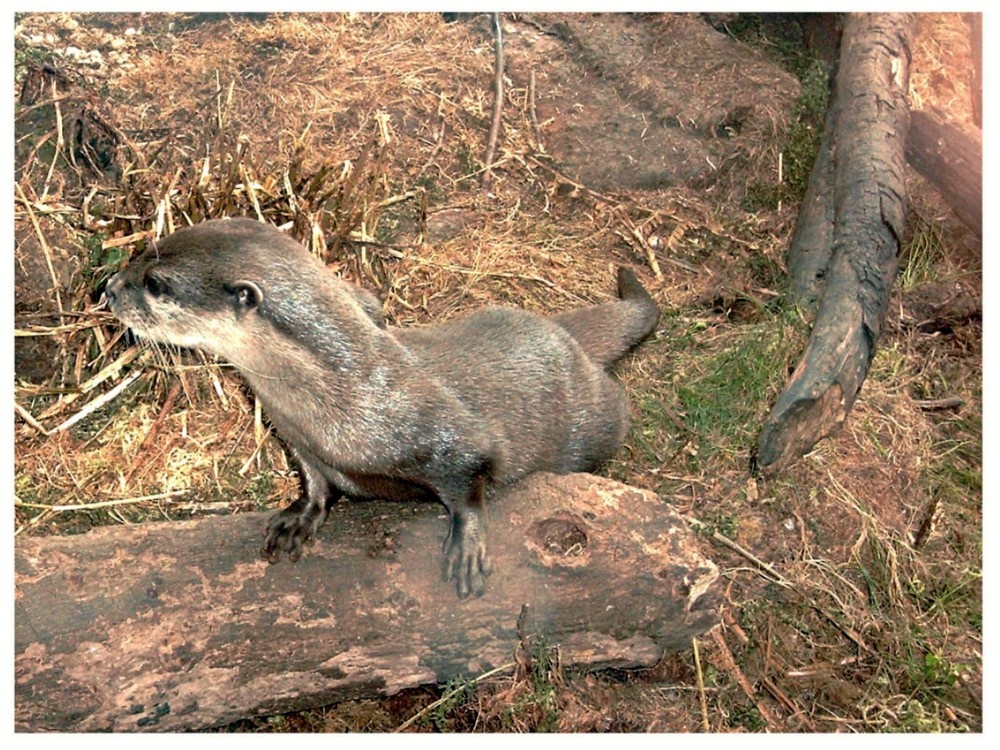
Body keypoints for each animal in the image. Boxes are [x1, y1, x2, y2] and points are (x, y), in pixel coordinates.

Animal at [105, 217, 659, 598]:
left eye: (156, 283)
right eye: (142, 251)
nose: (108, 287)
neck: (340, 395)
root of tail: (563, 335)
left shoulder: (445, 434)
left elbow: (472, 476)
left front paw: (467, 544)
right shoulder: (299, 441)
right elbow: (317, 483)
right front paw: (301, 517)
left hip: (593, 419)